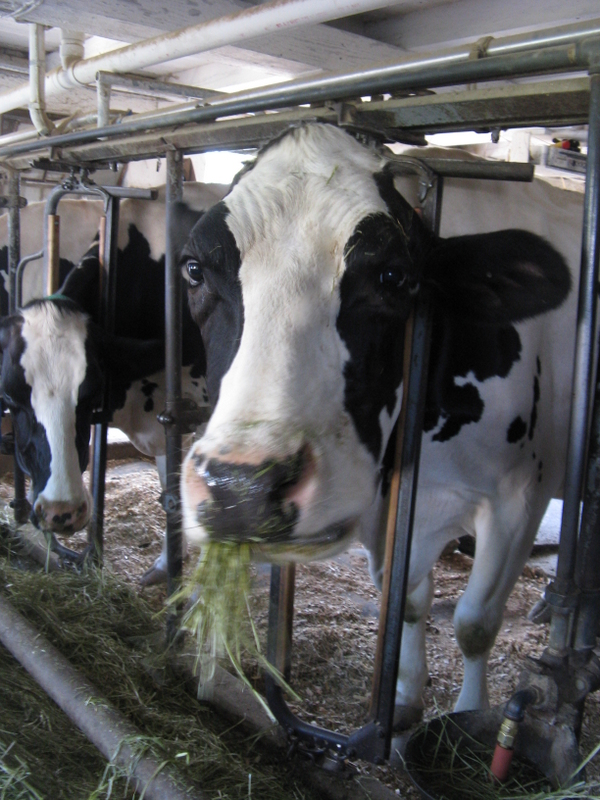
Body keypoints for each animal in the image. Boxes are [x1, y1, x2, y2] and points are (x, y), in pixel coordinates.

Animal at [179, 122, 580, 727]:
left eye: (394, 276)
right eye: (195, 269)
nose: (240, 491)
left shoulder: (519, 499)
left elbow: (474, 623)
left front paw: (471, 715)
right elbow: (408, 602)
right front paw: (406, 698)